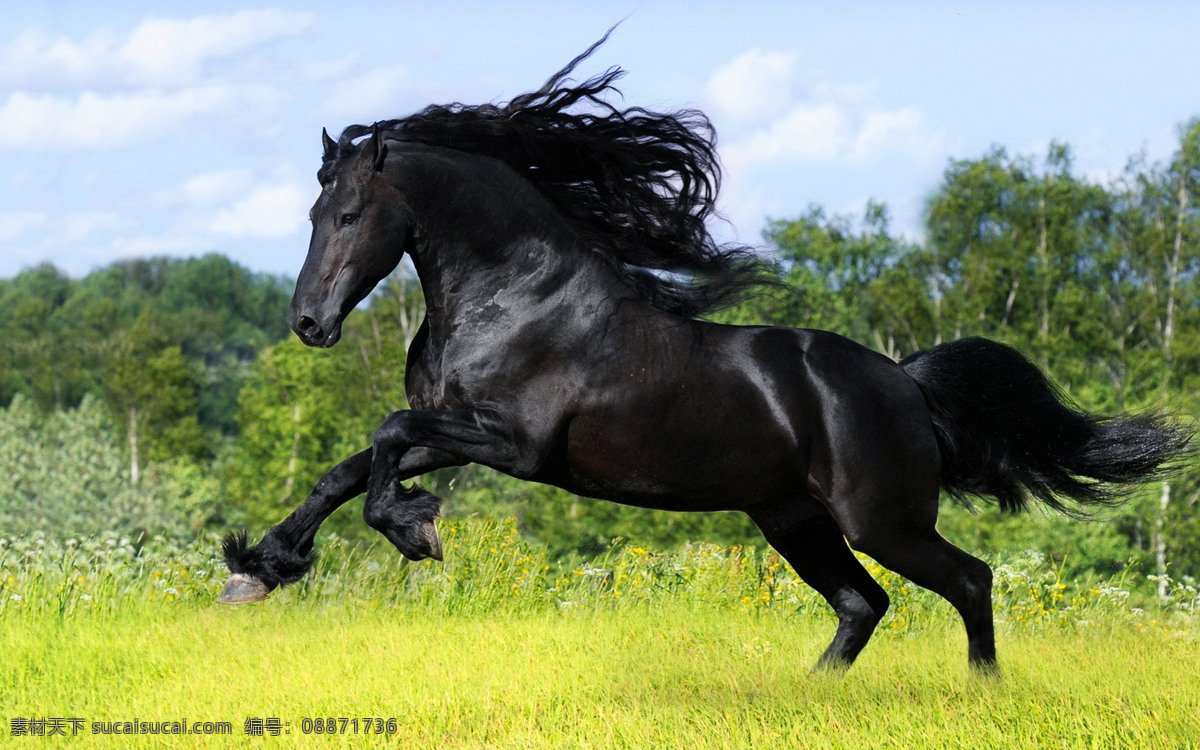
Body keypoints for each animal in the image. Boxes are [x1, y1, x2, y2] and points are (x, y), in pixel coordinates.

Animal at [218, 37, 1190, 673]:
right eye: (313, 212)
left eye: (349, 213)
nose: (309, 324)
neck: (515, 296)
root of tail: (906, 383)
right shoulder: (454, 427)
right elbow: (346, 469)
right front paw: (260, 569)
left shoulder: (514, 445)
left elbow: (383, 438)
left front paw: (413, 530)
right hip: (794, 520)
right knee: (863, 604)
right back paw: (811, 696)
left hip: (882, 520)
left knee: (969, 580)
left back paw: (980, 691)